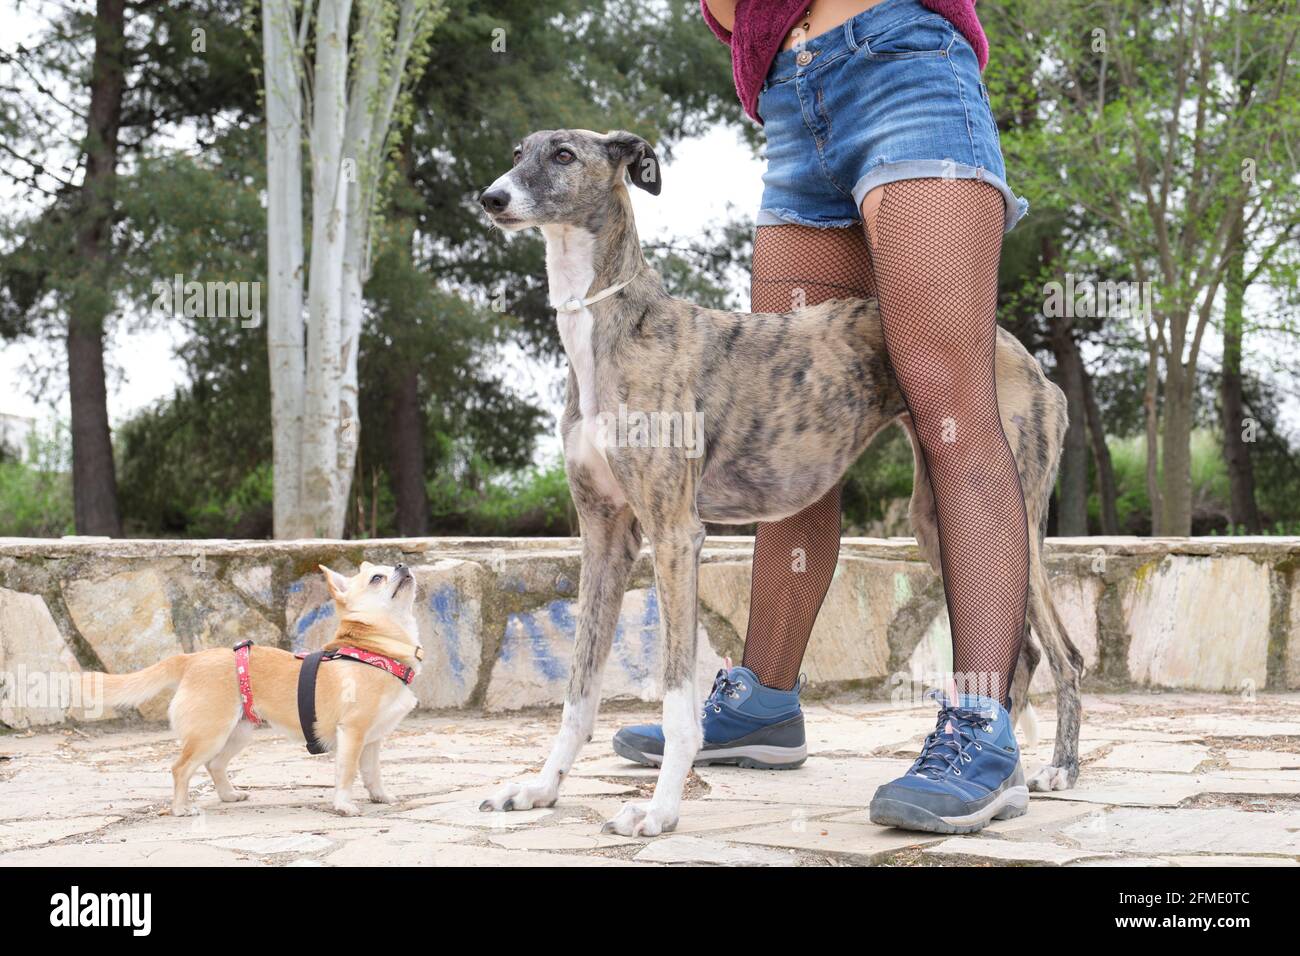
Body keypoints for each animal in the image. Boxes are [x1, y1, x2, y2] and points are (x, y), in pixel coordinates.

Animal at [85, 564, 421, 816]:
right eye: (377, 578)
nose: (402, 565)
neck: (375, 651)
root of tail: (191, 658)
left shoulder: (372, 739)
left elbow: (372, 772)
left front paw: (381, 797)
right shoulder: (352, 733)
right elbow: (348, 772)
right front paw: (343, 805)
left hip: (237, 733)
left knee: (214, 765)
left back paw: (229, 796)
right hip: (210, 735)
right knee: (181, 768)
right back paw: (182, 809)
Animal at [473, 128, 1081, 837]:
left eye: (564, 155)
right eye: (519, 153)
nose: (491, 198)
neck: (612, 328)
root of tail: (1022, 357)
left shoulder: (674, 533)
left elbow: (676, 698)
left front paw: (660, 810)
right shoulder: (604, 537)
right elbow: (578, 690)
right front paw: (540, 789)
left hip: (1006, 505)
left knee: (1067, 655)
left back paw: (1057, 770)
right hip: (936, 519)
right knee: (1029, 651)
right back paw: (1014, 772)